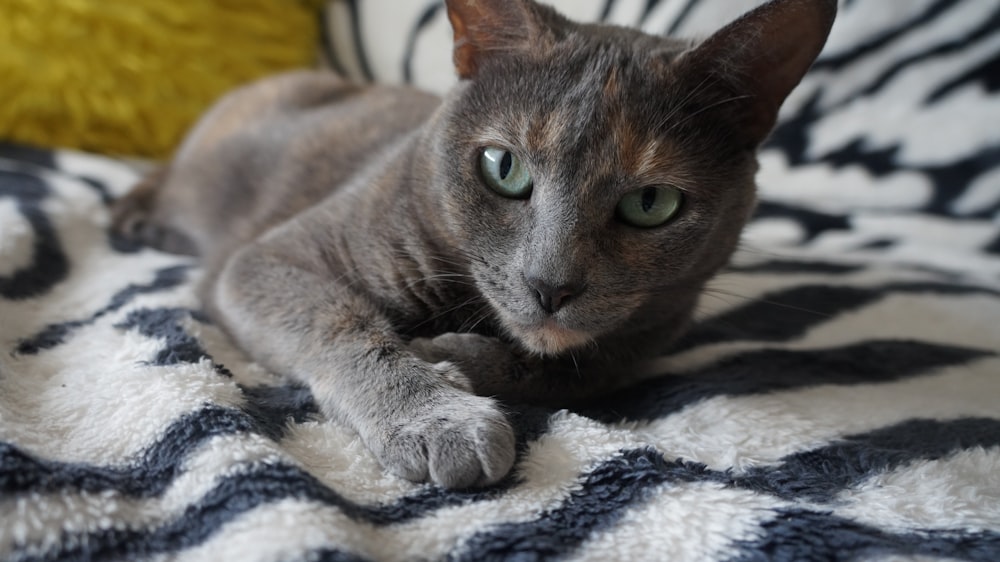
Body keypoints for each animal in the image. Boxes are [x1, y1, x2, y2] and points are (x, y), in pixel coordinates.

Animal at [113, 0, 840, 486]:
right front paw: (437, 417)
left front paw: (449, 359)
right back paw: (138, 218)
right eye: (503, 167)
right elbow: (344, 326)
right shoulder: (269, 259)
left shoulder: (639, 344)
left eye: (651, 203)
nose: (551, 284)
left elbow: (563, 371)